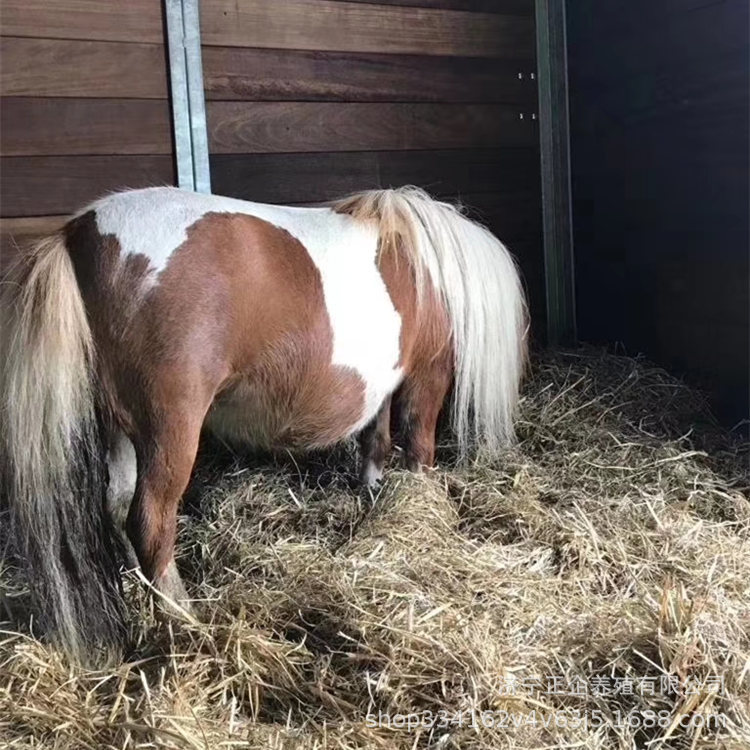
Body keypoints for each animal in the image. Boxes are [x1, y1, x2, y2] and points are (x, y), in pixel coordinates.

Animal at [0, 185, 527, 662]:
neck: (426, 266)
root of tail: (79, 234)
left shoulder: (383, 381)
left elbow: (375, 440)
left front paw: (374, 492)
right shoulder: (426, 376)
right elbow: (417, 448)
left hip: (121, 429)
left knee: (116, 507)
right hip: (169, 429)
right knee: (148, 520)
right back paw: (184, 615)